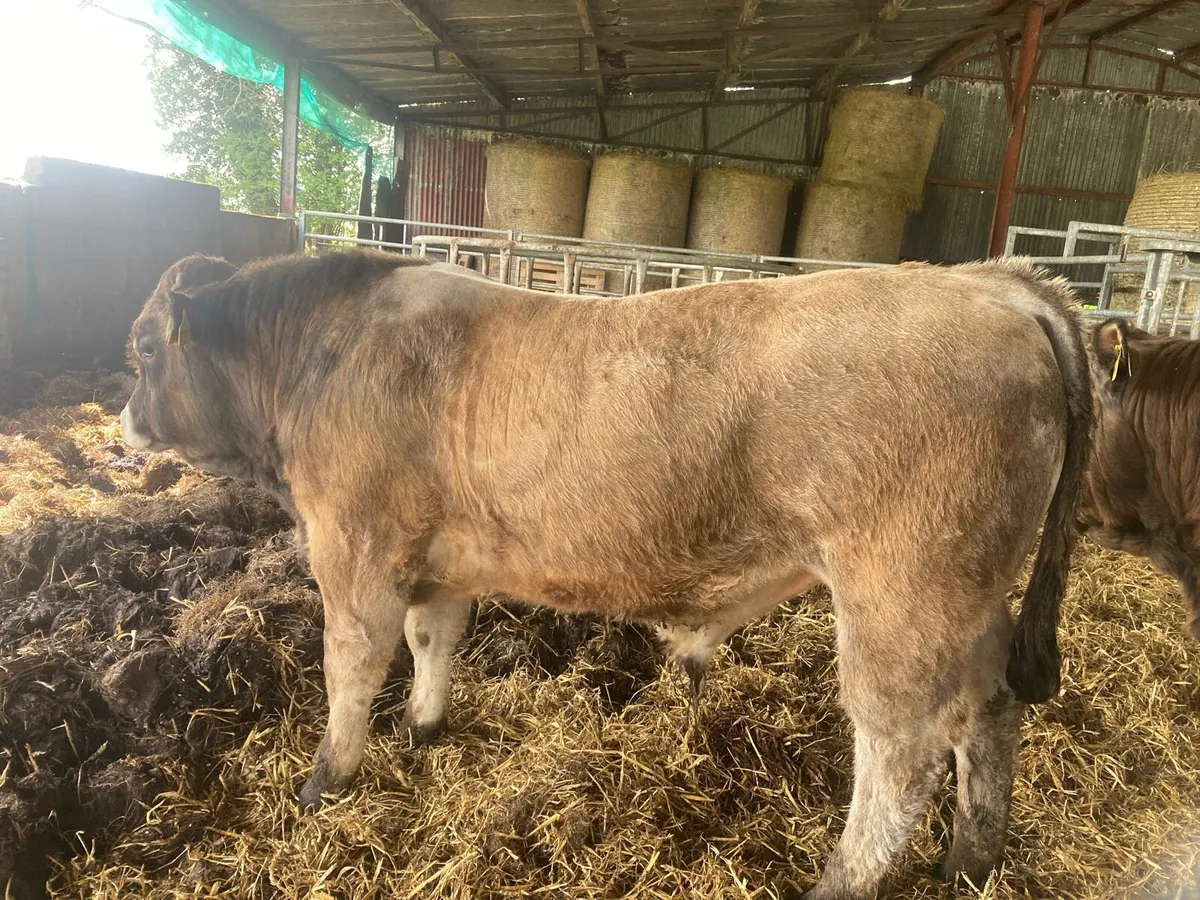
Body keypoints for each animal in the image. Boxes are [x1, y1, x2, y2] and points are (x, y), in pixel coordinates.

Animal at [120, 249, 1091, 899]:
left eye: (143, 350)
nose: (125, 419)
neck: (327, 351)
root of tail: (987, 280)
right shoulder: (438, 562)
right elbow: (433, 640)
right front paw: (427, 729)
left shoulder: (353, 548)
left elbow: (350, 668)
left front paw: (327, 779)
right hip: (972, 599)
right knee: (989, 712)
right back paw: (970, 862)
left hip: (901, 598)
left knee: (900, 751)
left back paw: (843, 881)